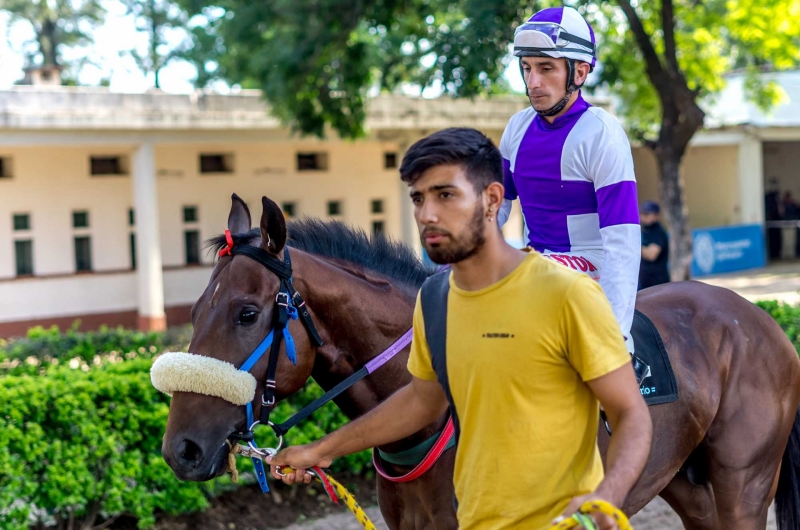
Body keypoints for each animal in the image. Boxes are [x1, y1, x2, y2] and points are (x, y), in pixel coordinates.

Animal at [159, 194, 800, 528]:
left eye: (246, 312)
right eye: (197, 309)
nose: (181, 449)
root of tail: (757, 316)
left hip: (743, 482)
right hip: (686, 482)